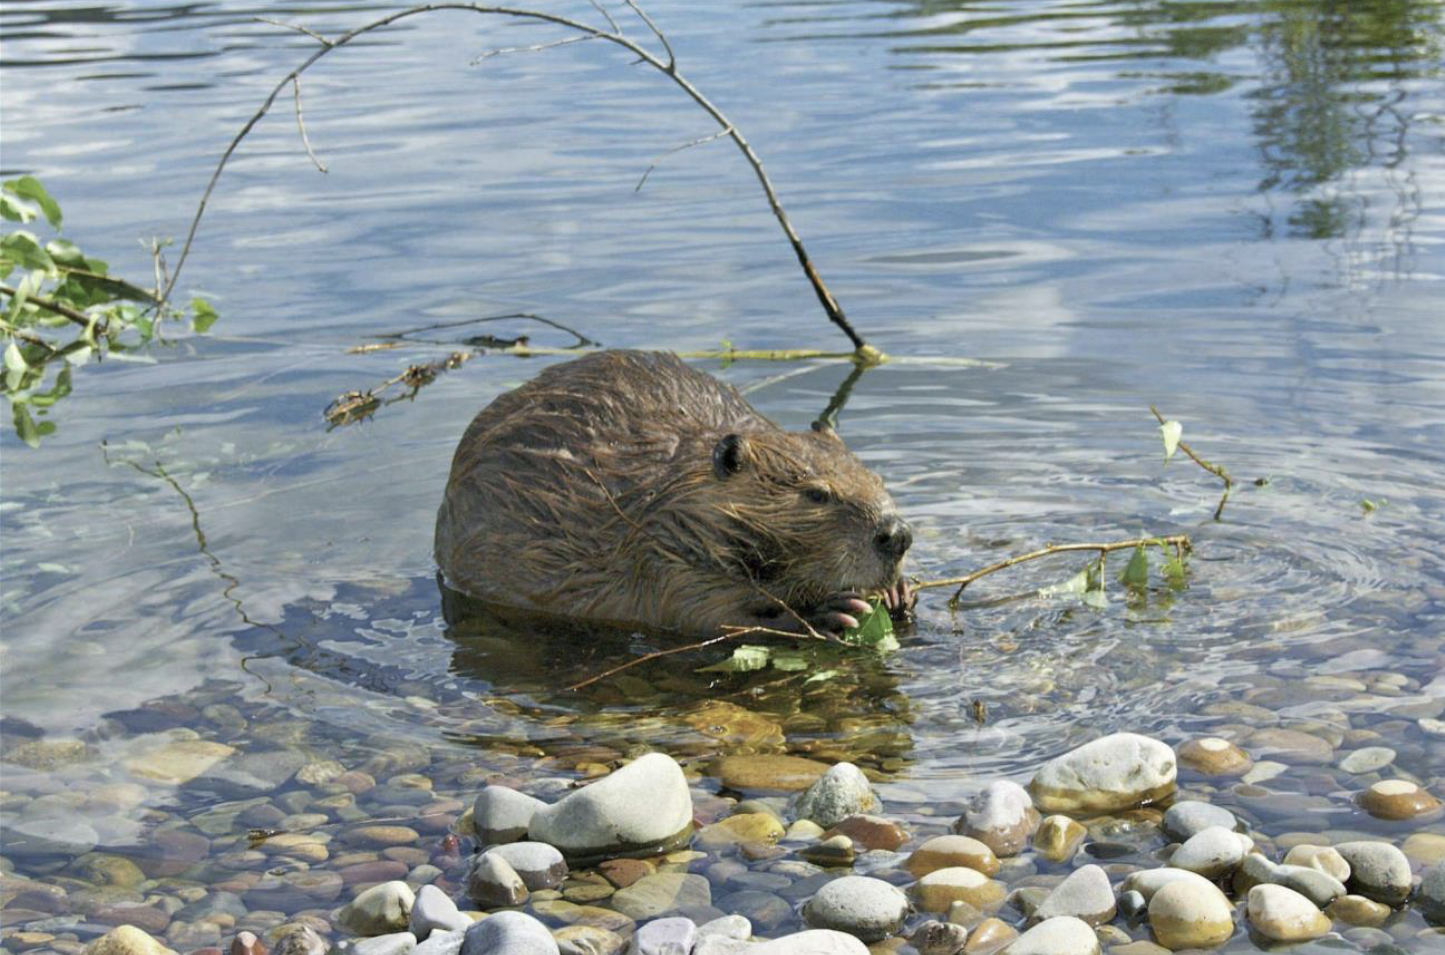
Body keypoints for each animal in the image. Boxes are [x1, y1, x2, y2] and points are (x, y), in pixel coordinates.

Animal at [433, 348, 919, 632]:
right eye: (817, 493)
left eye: (877, 479)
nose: (897, 535)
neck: (670, 489)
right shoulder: (656, 550)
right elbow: (702, 612)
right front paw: (830, 612)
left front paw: (898, 592)